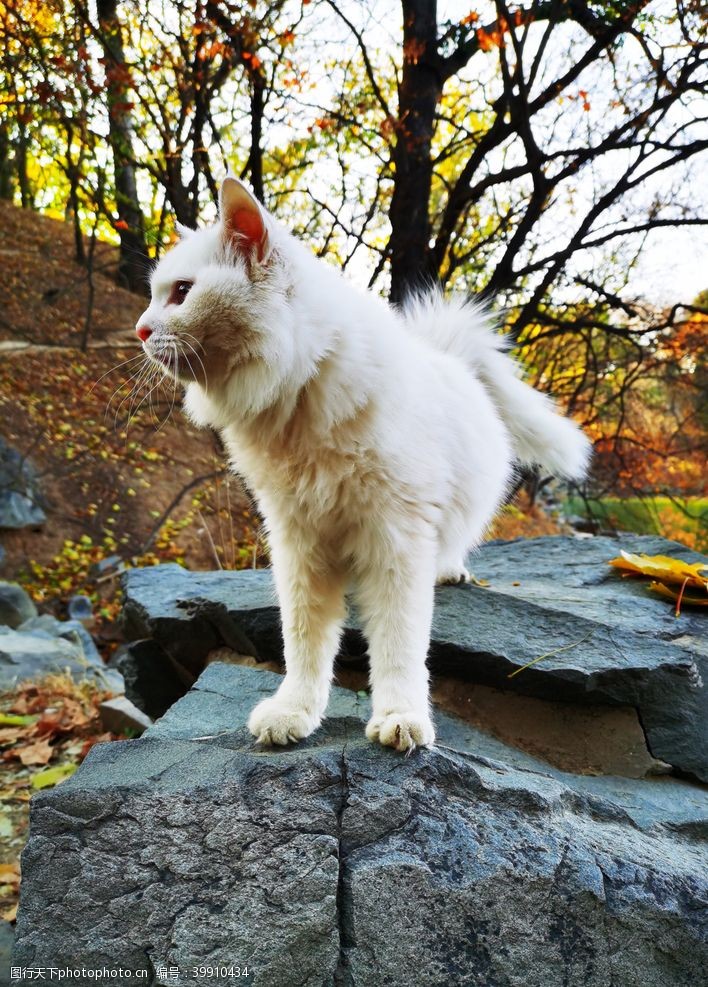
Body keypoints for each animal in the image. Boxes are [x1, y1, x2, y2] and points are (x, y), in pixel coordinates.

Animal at [136, 178, 588, 752]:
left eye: (181, 292)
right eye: (157, 294)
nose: (140, 331)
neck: (296, 396)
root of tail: (450, 356)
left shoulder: (396, 538)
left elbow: (398, 645)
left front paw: (401, 716)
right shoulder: (298, 542)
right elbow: (304, 642)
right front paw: (295, 711)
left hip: (454, 516)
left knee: (451, 547)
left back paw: (450, 571)